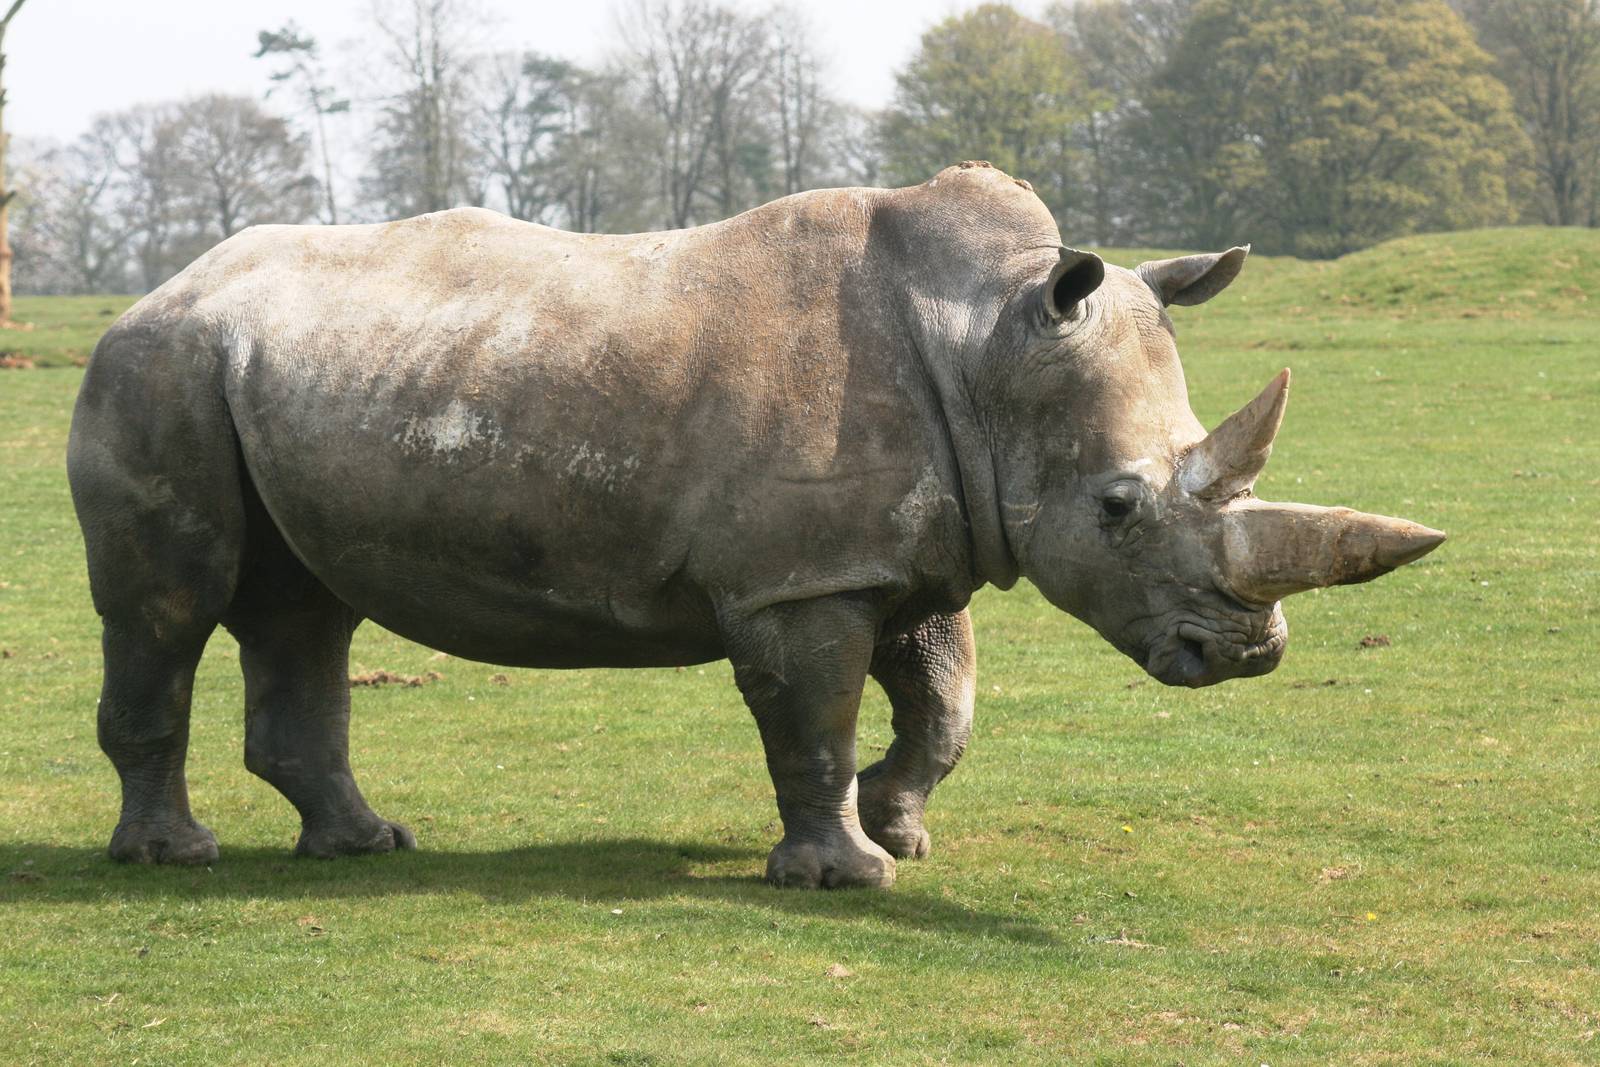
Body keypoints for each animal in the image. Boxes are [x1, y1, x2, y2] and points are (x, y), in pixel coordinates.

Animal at [67, 161, 1443, 889]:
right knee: (171, 605)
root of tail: (158, 288)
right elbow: (816, 719)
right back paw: (174, 857)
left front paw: (902, 827)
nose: (1246, 653)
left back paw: (365, 845)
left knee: (304, 608)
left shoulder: (919, 550)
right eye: (1116, 506)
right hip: (155, 369)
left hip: (270, 373)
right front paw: (845, 873)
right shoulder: (802, 577)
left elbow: (944, 704)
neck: (989, 342)